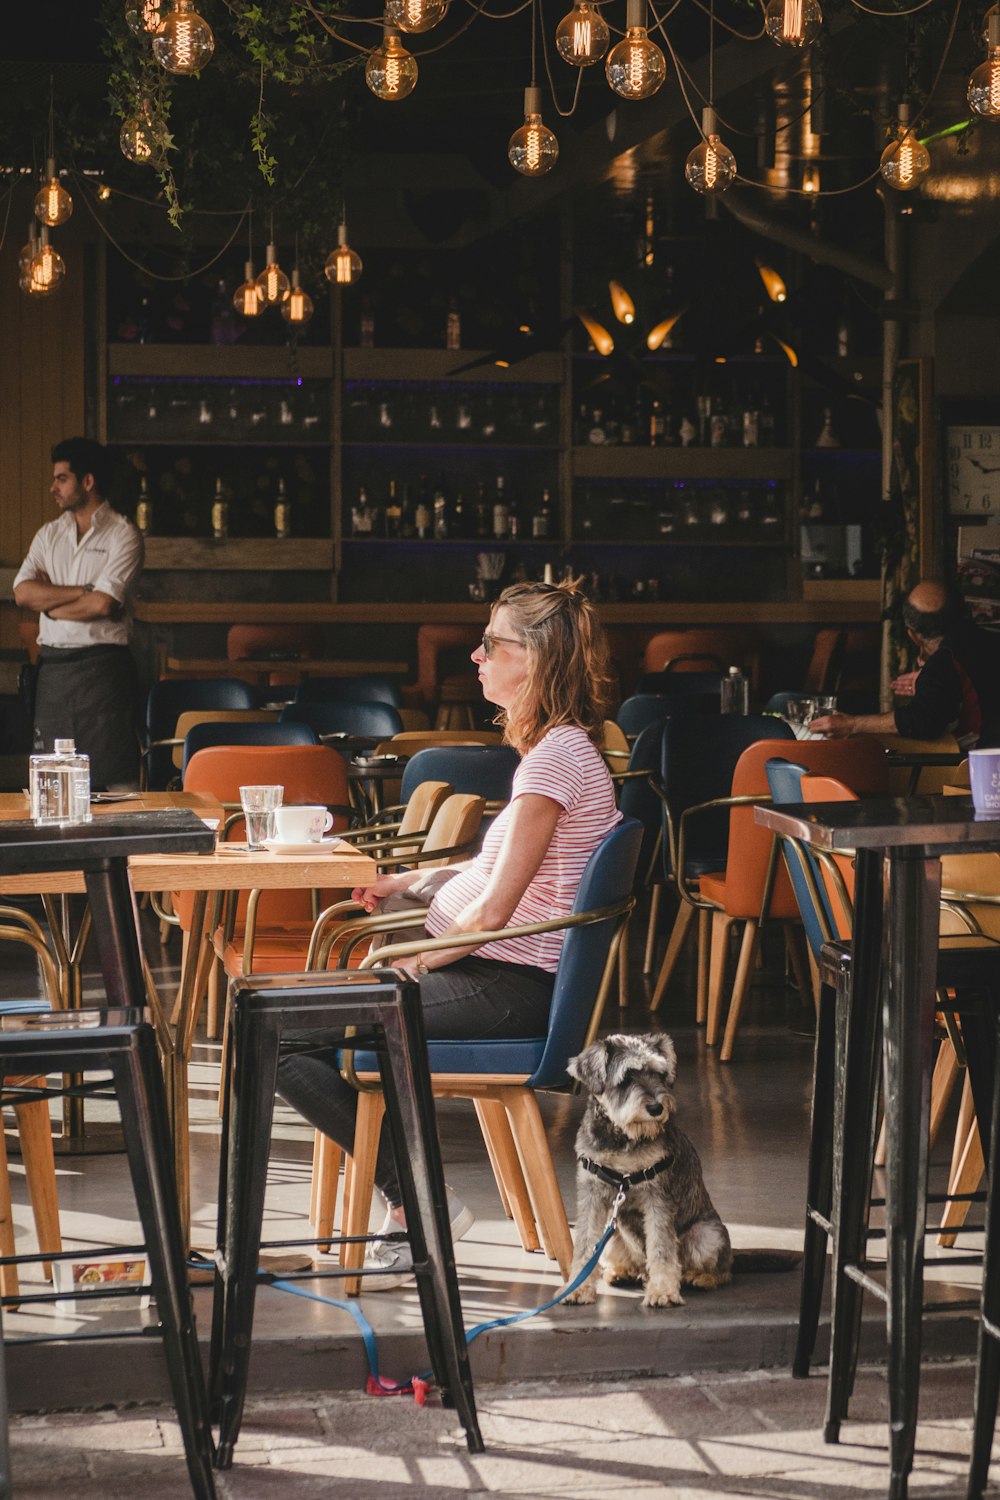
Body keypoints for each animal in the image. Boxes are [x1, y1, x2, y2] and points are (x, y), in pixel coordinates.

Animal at [563, 1038, 734, 1308]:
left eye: (660, 1075)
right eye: (626, 1077)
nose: (656, 1107)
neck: (622, 1136)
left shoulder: (657, 1197)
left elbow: (661, 1247)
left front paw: (663, 1291)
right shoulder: (591, 1195)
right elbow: (584, 1244)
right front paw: (577, 1288)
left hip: (707, 1235)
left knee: (723, 1270)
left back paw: (700, 1277)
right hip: (612, 1235)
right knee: (635, 1265)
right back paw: (622, 1272)